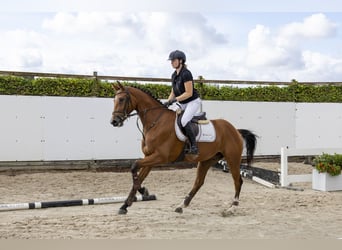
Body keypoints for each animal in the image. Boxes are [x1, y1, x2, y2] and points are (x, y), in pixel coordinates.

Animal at [110, 82, 256, 215]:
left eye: (122, 99)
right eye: (114, 100)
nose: (114, 122)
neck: (156, 122)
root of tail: (235, 130)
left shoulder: (160, 157)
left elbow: (134, 166)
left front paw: (139, 193)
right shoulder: (149, 157)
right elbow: (138, 177)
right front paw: (126, 204)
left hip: (232, 159)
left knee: (238, 181)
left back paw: (232, 208)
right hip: (207, 160)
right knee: (199, 182)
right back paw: (182, 205)